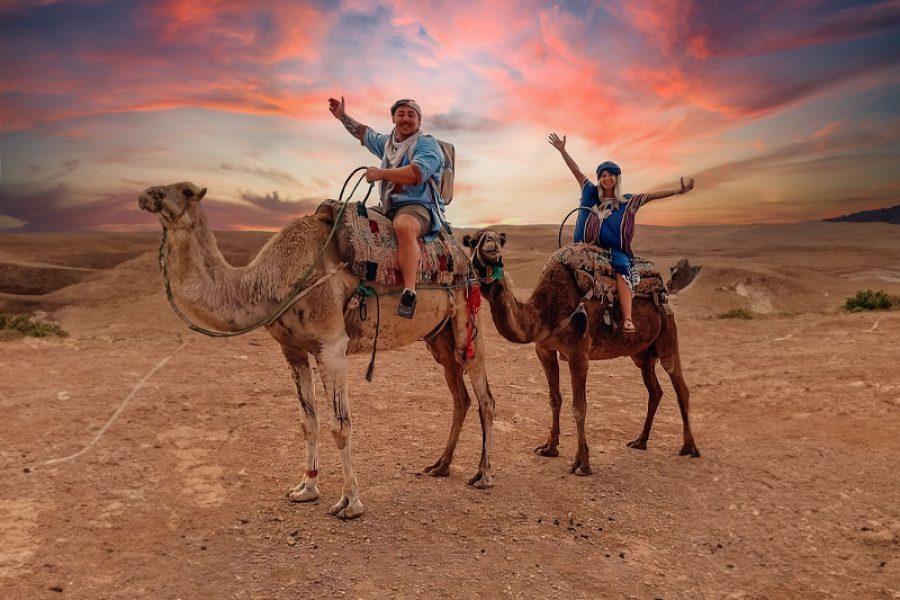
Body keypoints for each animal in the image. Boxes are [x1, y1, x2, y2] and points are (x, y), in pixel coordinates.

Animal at [138, 182, 495, 520]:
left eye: (185, 190)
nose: (145, 196)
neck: (270, 281)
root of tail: (463, 255)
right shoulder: (292, 349)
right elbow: (307, 422)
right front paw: (305, 488)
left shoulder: (331, 348)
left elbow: (341, 425)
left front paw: (350, 503)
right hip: (438, 336)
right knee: (460, 396)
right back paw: (441, 465)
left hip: (466, 316)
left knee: (485, 397)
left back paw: (483, 475)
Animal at [464, 230, 699, 476]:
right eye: (473, 241)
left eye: (500, 240)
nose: (491, 243)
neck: (545, 312)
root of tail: (663, 294)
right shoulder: (544, 349)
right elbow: (554, 399)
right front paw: (549, 447)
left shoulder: (578, 352)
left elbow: (579, 407)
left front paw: (582, 463)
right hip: (642, 353)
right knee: (655, 391)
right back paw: (640, 441)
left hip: (667, 337)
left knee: (680, 386)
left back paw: (689, 447)